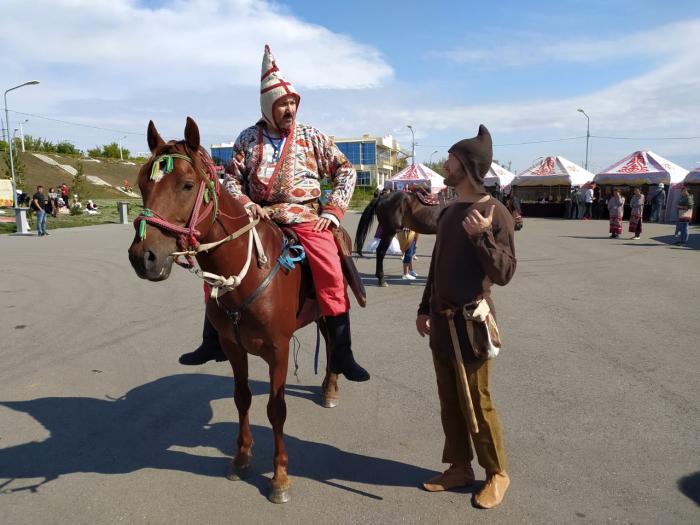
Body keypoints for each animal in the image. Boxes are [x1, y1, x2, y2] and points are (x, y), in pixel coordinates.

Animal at [127, 116, 346, 502]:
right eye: (141, 183)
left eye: (187, 185)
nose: (143, 257)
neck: (247, 273)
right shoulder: (233, 347)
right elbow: (242, 398)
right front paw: (242, 457)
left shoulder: (279, 350)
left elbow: (276, 409)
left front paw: (279, 476)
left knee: (335, 341)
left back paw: (331, 387)